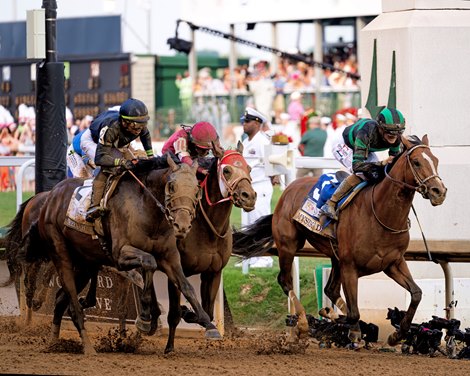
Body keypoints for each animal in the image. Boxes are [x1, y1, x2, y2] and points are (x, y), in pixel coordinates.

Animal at [139, 142, 258, 354]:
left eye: (249, 168)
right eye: (226, 170)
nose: (249, 196)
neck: (207, 227)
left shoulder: (212, 273)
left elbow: (208, 313)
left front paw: (191, 314)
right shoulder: (175, 271)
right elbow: (174, 314)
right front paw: (169, 347)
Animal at [233, 136, 446, 346]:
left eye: (436, 160)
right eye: (417, 162)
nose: (439, 191)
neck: (381, 214)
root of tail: (288, 190)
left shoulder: (393, 263)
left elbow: (416, 293)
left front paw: (397, 334)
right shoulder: (350, 266)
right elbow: (353, 313)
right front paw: (344, 327)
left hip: (335, 257)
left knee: (330, 290)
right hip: (289, 245)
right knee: (286, 281)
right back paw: (303, 322)